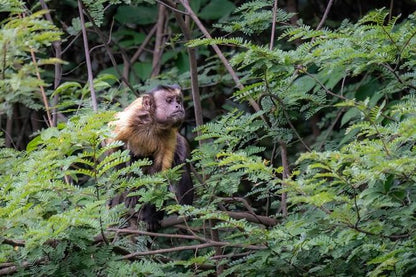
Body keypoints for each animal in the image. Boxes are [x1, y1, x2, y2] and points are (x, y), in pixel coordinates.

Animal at [110, 84, 195, 231]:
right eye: (169, 101)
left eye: (178, 100)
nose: (178, 106)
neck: (153, 122)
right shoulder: (130, 118)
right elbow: (112, 142)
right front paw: (120, 184)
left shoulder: (169, 134)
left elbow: (159, 175)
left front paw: (151, 216)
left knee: (181, 164)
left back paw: (185, 209)